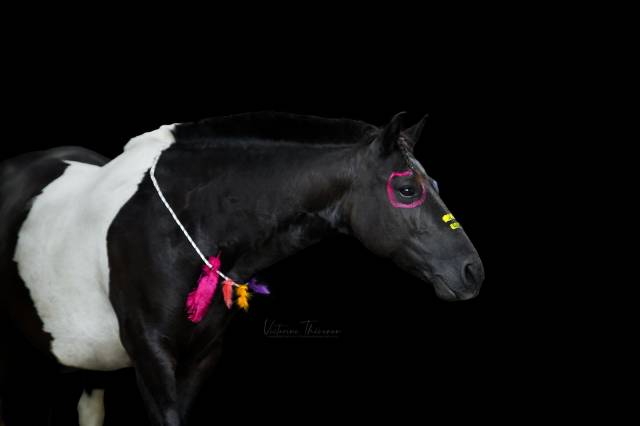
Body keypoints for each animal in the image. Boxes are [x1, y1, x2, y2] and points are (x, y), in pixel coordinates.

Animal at [0, 111, 484, 425]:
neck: (177, 223)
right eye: (406, 190)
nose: (472, 271)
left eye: (432, 183)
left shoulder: (201, 358)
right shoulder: (150, 357)